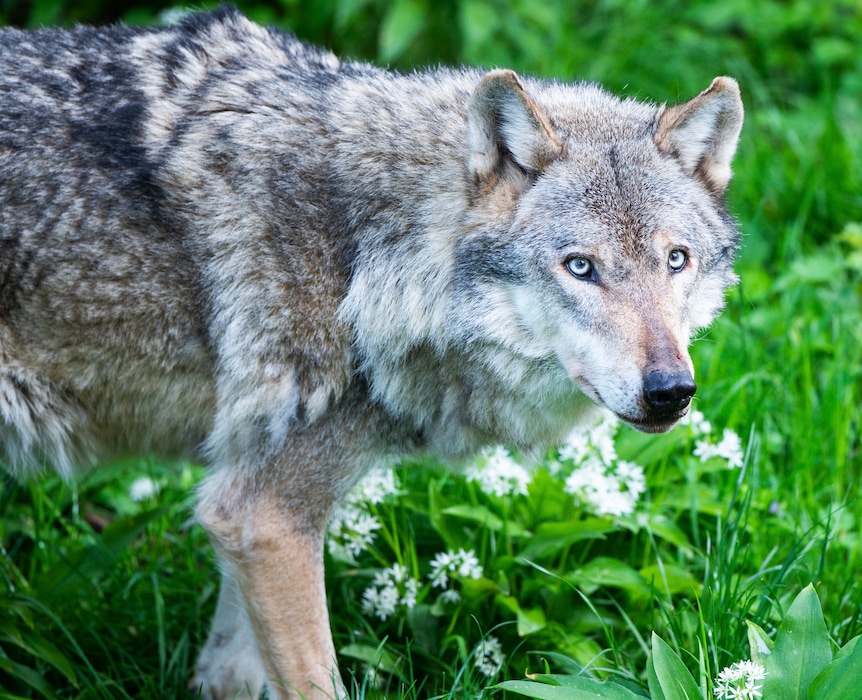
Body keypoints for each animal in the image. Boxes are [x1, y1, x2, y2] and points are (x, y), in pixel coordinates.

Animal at [0, 6, 743, 699]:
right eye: (581, 268)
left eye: (676, 260)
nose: (670, 390)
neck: (368, 256)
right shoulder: (265, 516)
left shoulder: (244, 513)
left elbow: (231, 667)